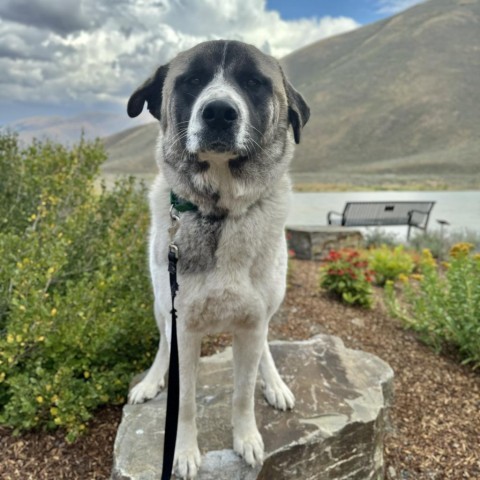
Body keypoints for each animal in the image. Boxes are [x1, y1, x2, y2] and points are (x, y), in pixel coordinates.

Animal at [125, 39, 310, 478]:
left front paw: (247, 439)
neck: (221, 214)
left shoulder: (252, 323)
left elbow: (242, 393)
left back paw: (274, 383)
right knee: (162, 346)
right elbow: (185, 401)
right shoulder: (183, 328)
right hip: (161, 307)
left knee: (265, 350)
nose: (220, 112)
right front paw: (184, 452)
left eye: (254, 83)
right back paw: (150, 381)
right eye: (191, 80)